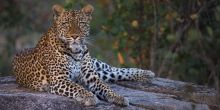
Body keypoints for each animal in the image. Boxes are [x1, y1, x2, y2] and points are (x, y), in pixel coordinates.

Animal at [11, 4, 155, 106]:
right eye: (66, 24)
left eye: (81, 23)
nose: (75, 36)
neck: (76, 53)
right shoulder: (59, 79)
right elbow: (77, 87)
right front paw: (89, 96)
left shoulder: (92, 76)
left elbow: (105, 87)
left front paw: (118, 97)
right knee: (114, 74)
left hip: (98, 65)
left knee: (117, 70)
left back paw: (147, 74)